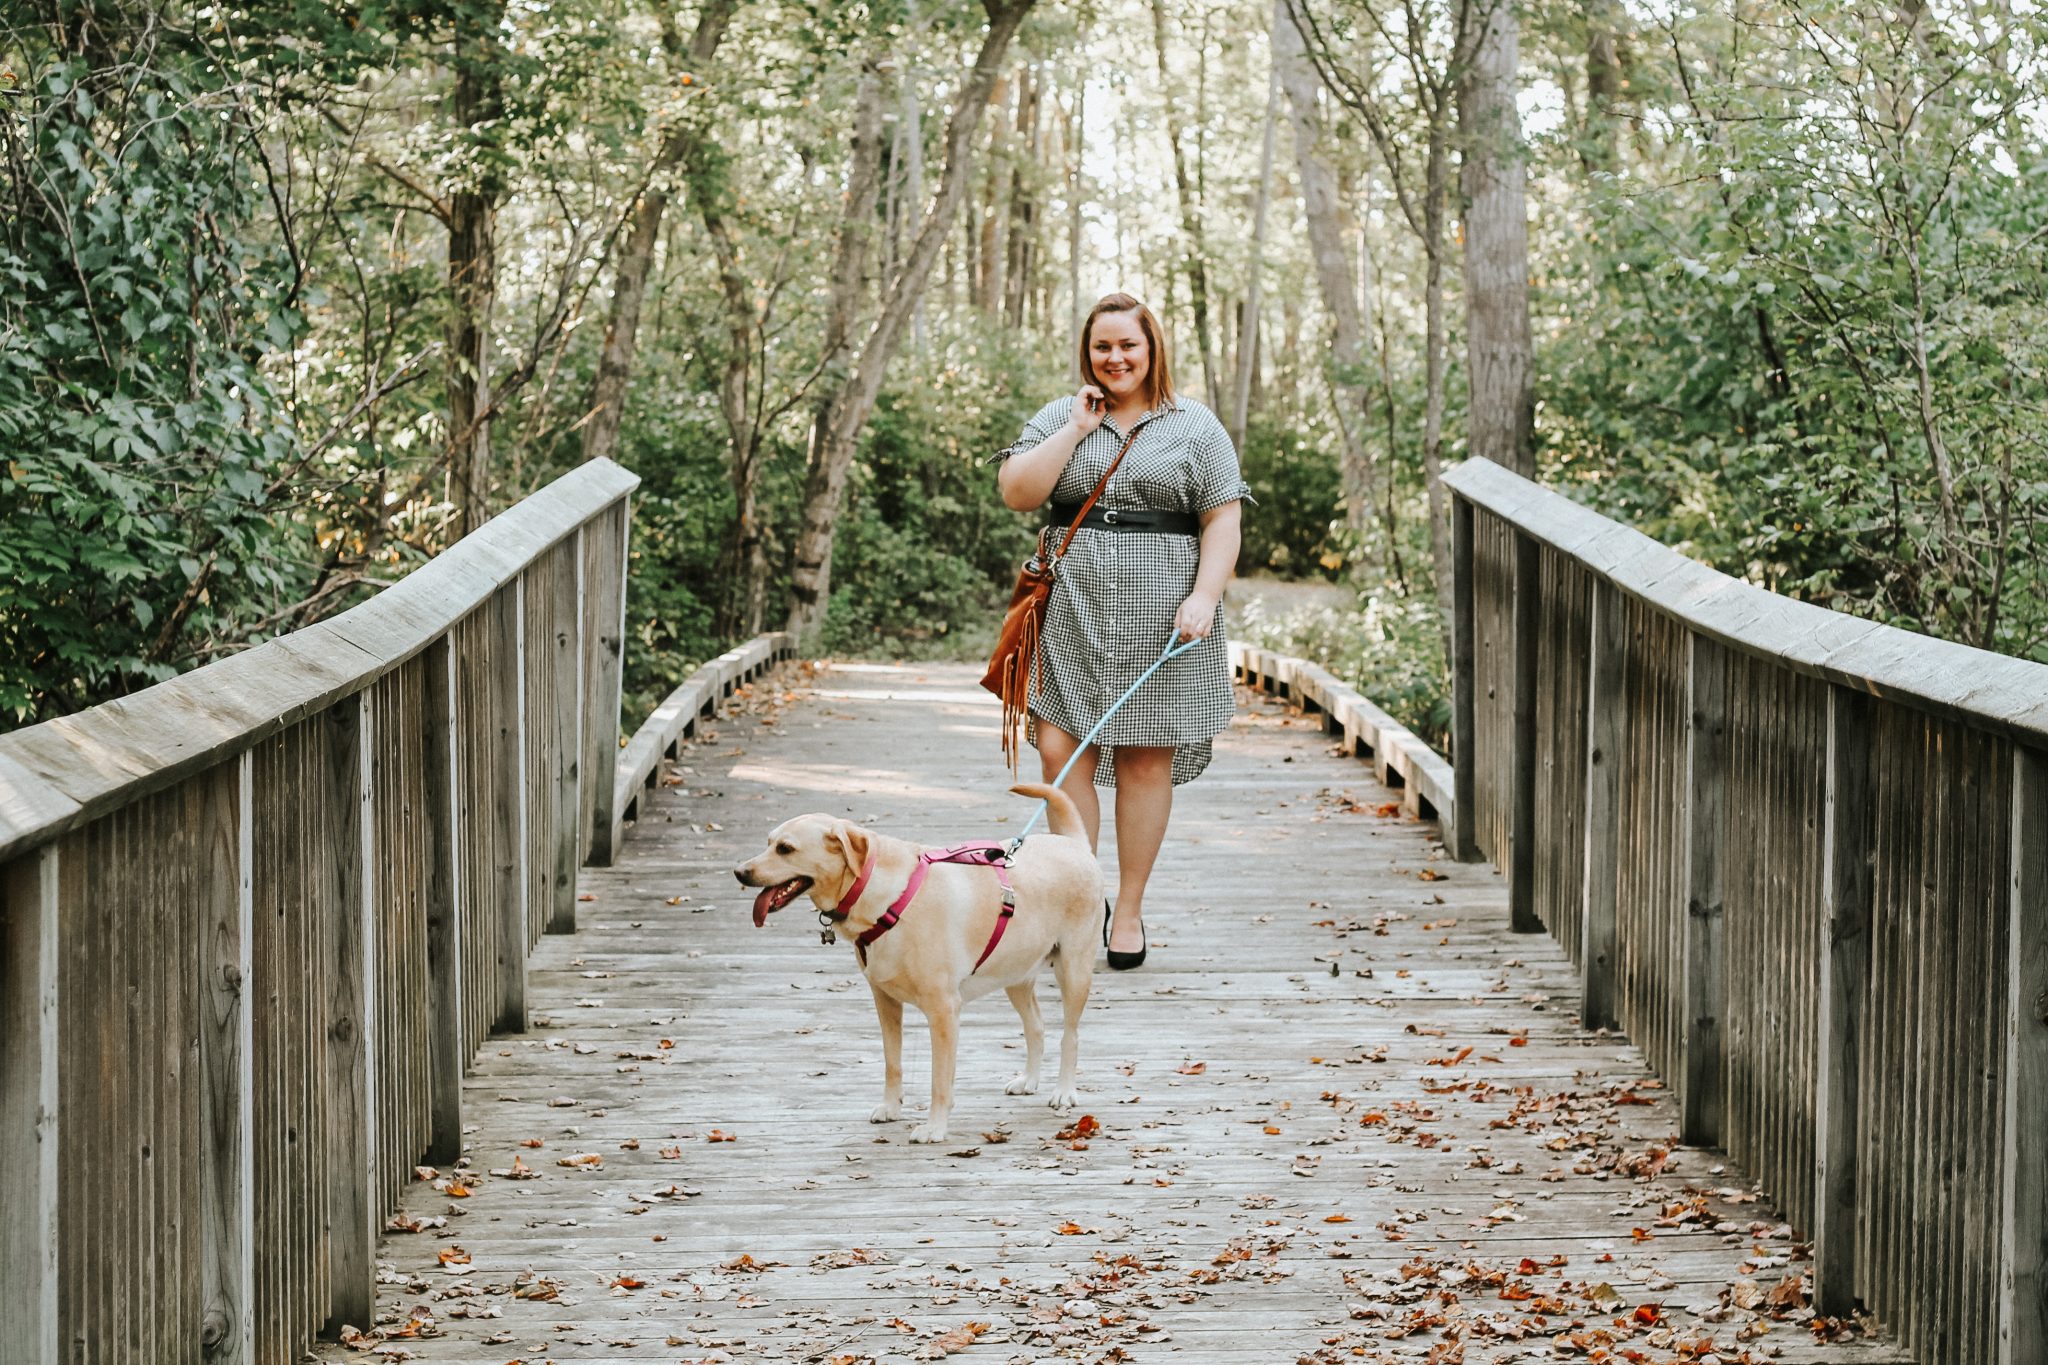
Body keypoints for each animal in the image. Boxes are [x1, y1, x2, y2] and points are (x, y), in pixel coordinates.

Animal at [741, 785, 1105, 1146]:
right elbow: (892, 1063)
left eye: (786, 849)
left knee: (1070, 1036)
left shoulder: (943, 1011)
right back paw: (1028, 1079)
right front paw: (891, 1108)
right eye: (768, 842)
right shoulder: (885, 1001)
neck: (884, 898)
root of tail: (1074, 843)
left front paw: (935, 1127)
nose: (739, 872)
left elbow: (939, 1079)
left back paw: (1064, 1091)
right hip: (1015, 975)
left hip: (1073, 972)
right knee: (1036, 1027)